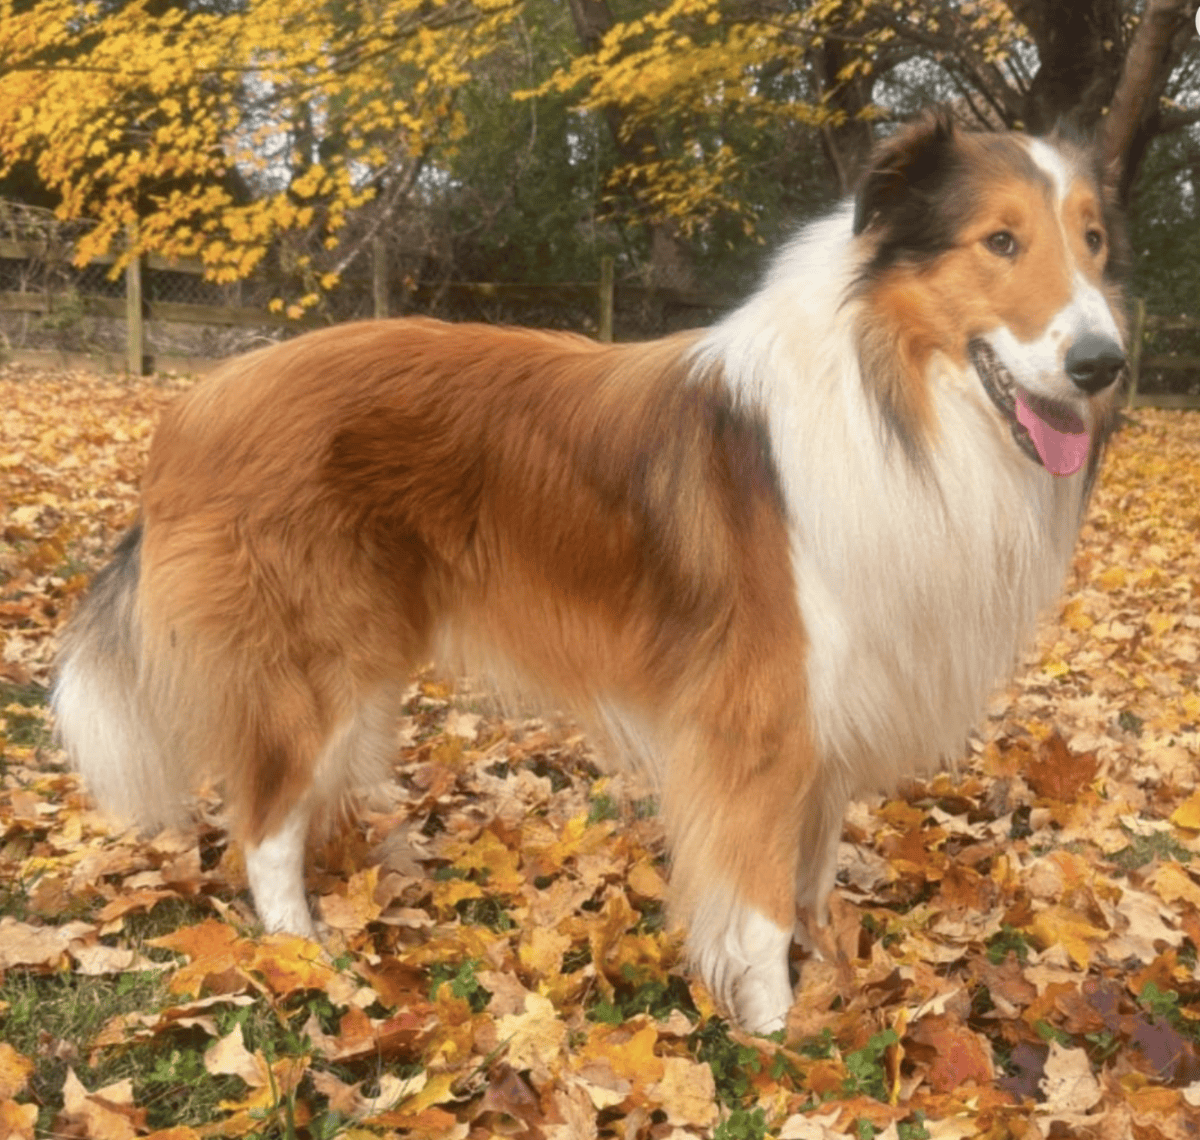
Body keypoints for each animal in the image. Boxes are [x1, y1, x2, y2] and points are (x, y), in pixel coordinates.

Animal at [54, 111, 1127, 1035]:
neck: (896, 400)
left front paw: (824, 983)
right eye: (1000, 241)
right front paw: (780, 1037)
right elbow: (762, 905)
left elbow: (810, 880)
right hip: (315, 661)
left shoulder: (829, 718)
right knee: (264, 824)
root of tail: (193, 409)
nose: (1103, 364)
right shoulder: (759, 728)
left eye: (1094, 241)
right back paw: (305, 953)